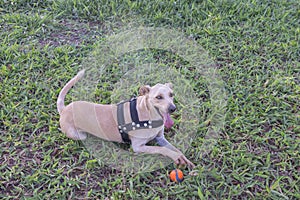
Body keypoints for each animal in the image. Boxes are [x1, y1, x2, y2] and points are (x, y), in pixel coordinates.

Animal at [57, 69, 196, 168]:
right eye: (159, 97)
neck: (147, 115)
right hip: (80, 135)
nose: (173, 108)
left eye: (171, 95)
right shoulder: (138, 147)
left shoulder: (160, 138)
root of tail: (64, 109)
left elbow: (174, 148)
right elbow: (161, 149)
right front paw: (175, 156)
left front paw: (183, 158)